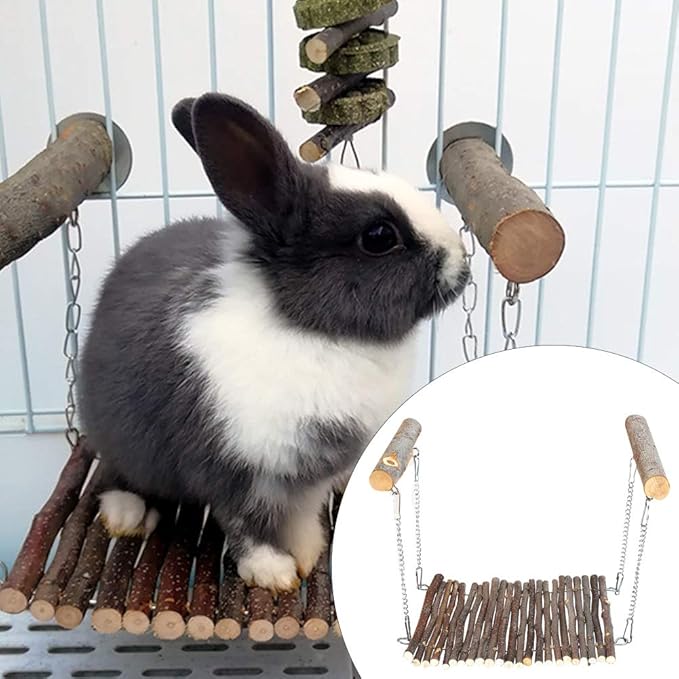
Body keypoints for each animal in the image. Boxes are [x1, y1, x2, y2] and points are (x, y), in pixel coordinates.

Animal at [79, 93, 469, 592]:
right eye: (380, 237)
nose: (463, 262)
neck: (317, 334)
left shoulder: (311, 472)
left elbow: (303, 514)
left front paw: (306, 553)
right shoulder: (231, 467)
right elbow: (245, 525)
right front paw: (274, 573)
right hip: (114, 431)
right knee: (117, 471)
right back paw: (127, 512)